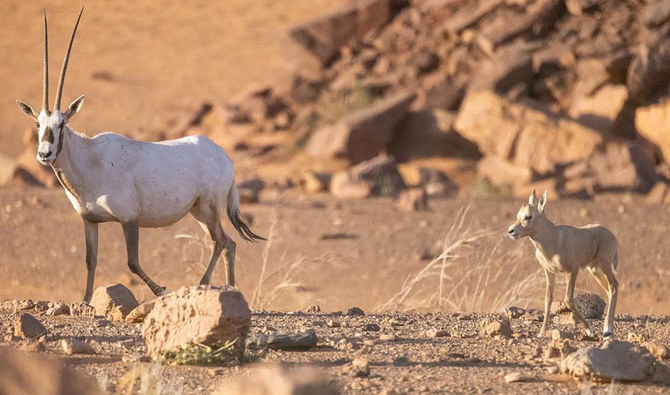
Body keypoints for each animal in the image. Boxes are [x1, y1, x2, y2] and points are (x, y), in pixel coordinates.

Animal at [15, 8, 262, 304]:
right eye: (38, 124)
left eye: (62, 123)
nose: (45, 153)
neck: (90, 159)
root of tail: (224, 157)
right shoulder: (89, 220)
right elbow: (90, 260)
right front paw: (85, 301)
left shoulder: (129, 218)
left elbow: (132, 262)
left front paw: (160, 290)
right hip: (200, 212)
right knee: (229, 243)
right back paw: (230, 287)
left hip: (210, 208)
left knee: (220, 241)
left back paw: (204, 284)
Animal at [512, 191, 624, 338]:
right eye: (518, 215)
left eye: (528, 216)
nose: (511, 231)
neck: (552, 238)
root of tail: (611, 235)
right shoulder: (549, 272)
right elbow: (548, 298)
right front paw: (542, 332)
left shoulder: (572, 271)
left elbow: (568, 300)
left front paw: (589, 328)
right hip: (594, 269)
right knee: (609, 289)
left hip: (605, 266)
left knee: (614, 286)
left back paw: (608, 330)